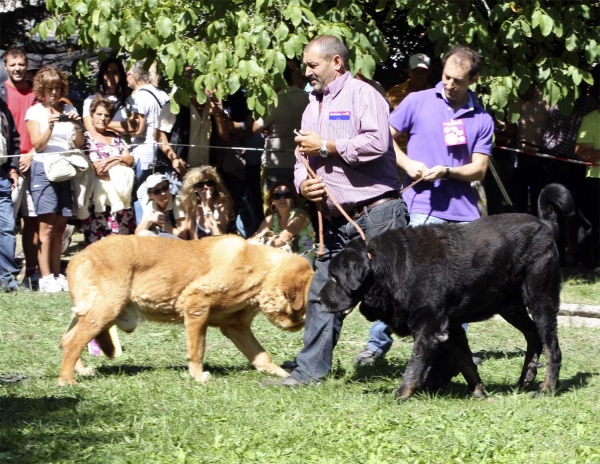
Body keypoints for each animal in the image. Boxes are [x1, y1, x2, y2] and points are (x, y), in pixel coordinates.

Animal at [59, 236, 314, 384]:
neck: (263, 271)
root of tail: (77, 257)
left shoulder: (236, 327)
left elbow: (261, 356)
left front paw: (283, 374)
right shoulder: (196, 306)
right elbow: (197, 350)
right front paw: (198, 376)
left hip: (90, 313)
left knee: (66, 339)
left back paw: (81, 372)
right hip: (105, 311)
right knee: (72, 342)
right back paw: (67, 381)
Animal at [318, 183, 576, 400]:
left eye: (334, 277)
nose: (319, 299)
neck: (388, 269)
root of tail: (545, 225)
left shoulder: (429, 327)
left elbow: (414, 365)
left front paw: (401, 394)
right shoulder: (452, 329)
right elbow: (466, 363)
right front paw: (479, 393)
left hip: (540, 299)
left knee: (552, 348)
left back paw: (547, 389)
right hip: (510, 306)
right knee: (533, 336)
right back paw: (525, 379)